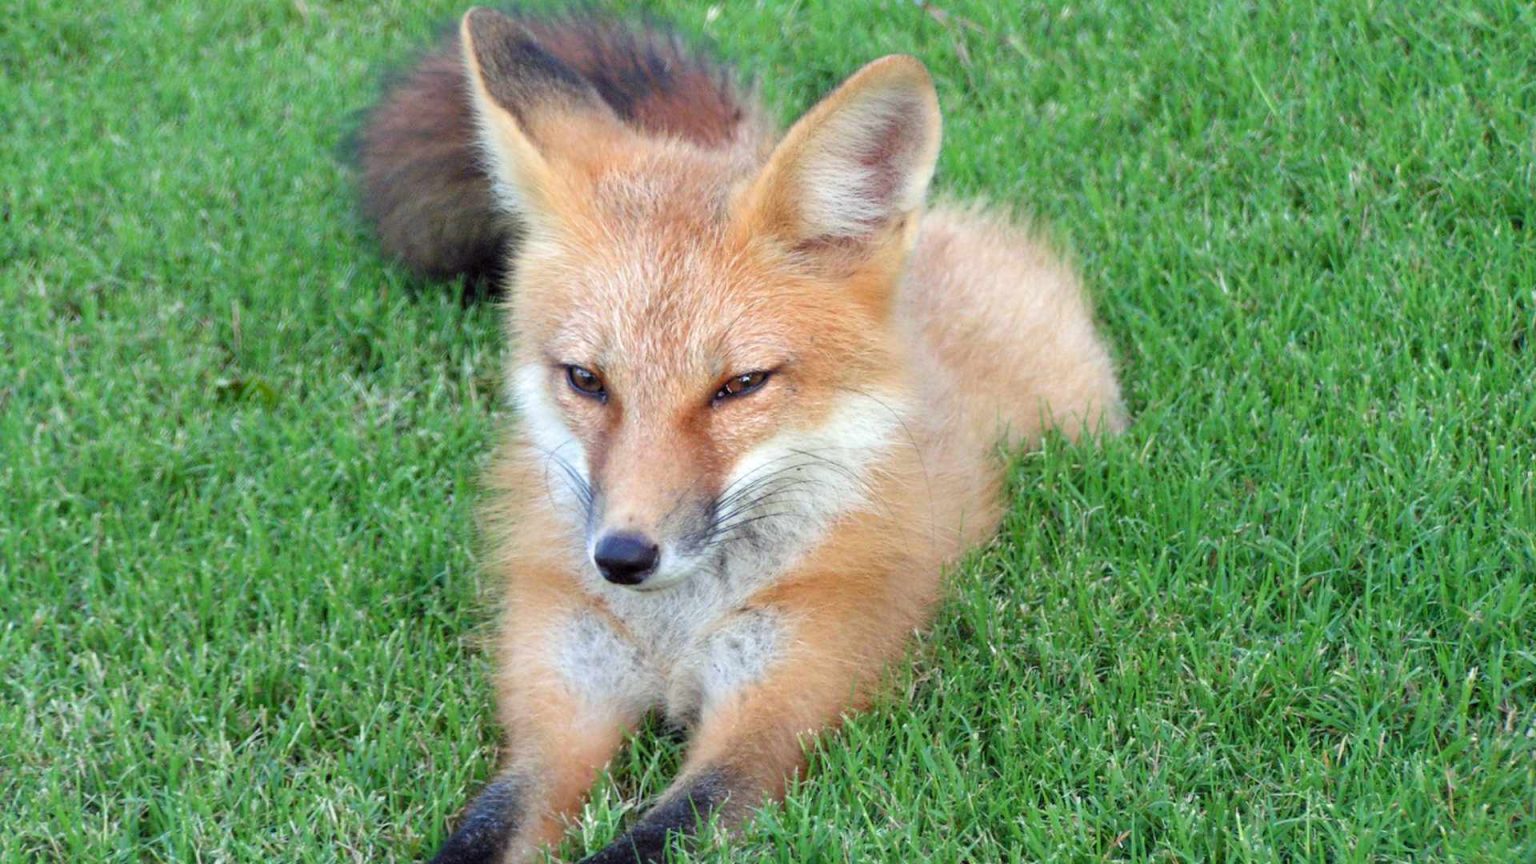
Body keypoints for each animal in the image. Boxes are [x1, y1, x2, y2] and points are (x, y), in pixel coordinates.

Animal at [356, 7, 1126, 863]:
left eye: (740, 386)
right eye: (586, 380)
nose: (623, 557)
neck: (675, 627)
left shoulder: (774, 718)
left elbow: (649, 841)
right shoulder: (560, 707)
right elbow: (482, 831)